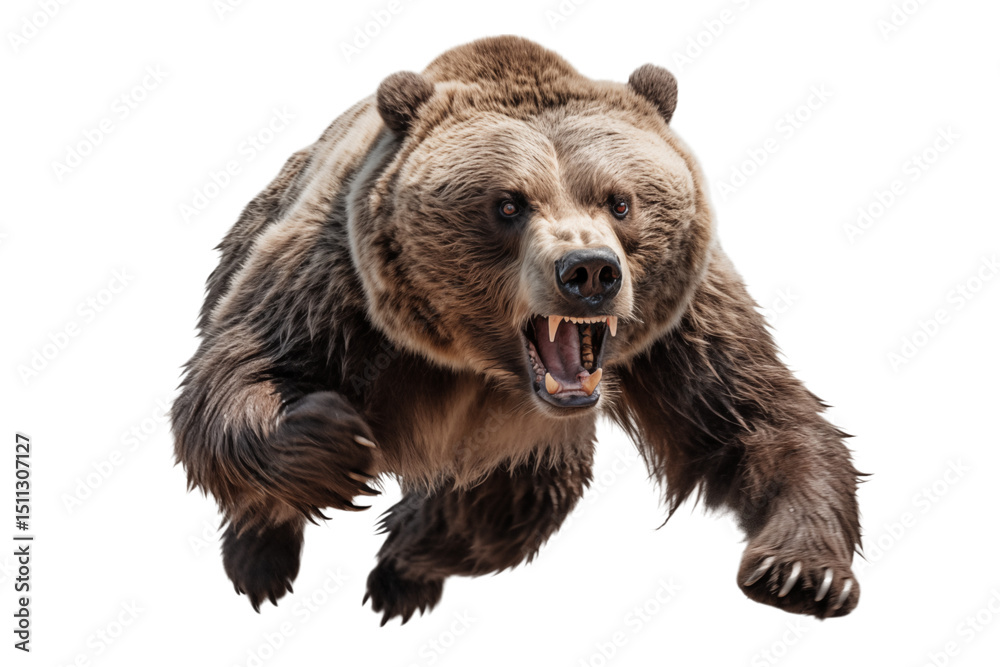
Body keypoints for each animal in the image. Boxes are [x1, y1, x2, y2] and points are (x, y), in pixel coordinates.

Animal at [171, 35, 862, 625]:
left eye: (620, 200)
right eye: (507, 203)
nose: (588, 271)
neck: (478, 365)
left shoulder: (681, 319)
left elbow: (752, 417)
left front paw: (804, 573)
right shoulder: (338, 286)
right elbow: (243, 375)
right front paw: (337, 441)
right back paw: (260, 561)